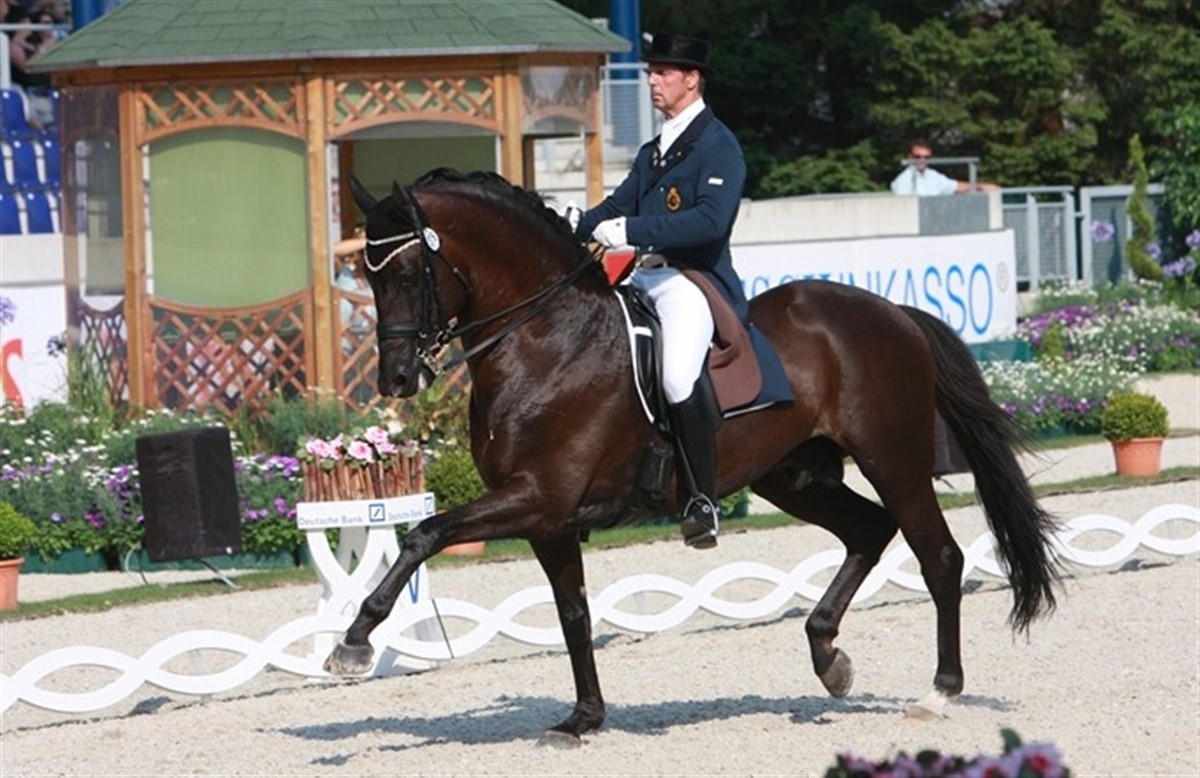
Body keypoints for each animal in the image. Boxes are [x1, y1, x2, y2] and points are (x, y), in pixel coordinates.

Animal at [324, 168, 1062, 747]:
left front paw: (354, 642)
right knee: (868, 531)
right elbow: (574, 615)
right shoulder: (550, 520)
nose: (395, 379)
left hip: (894, 460)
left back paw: (938, 692)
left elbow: (423, 533)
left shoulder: (538, 496)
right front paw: (583, 719)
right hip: (793, 477)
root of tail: (892, 311)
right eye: (364, 273)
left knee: (938, 556)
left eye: (410, 272)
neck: (545, 337)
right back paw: (828, 656)